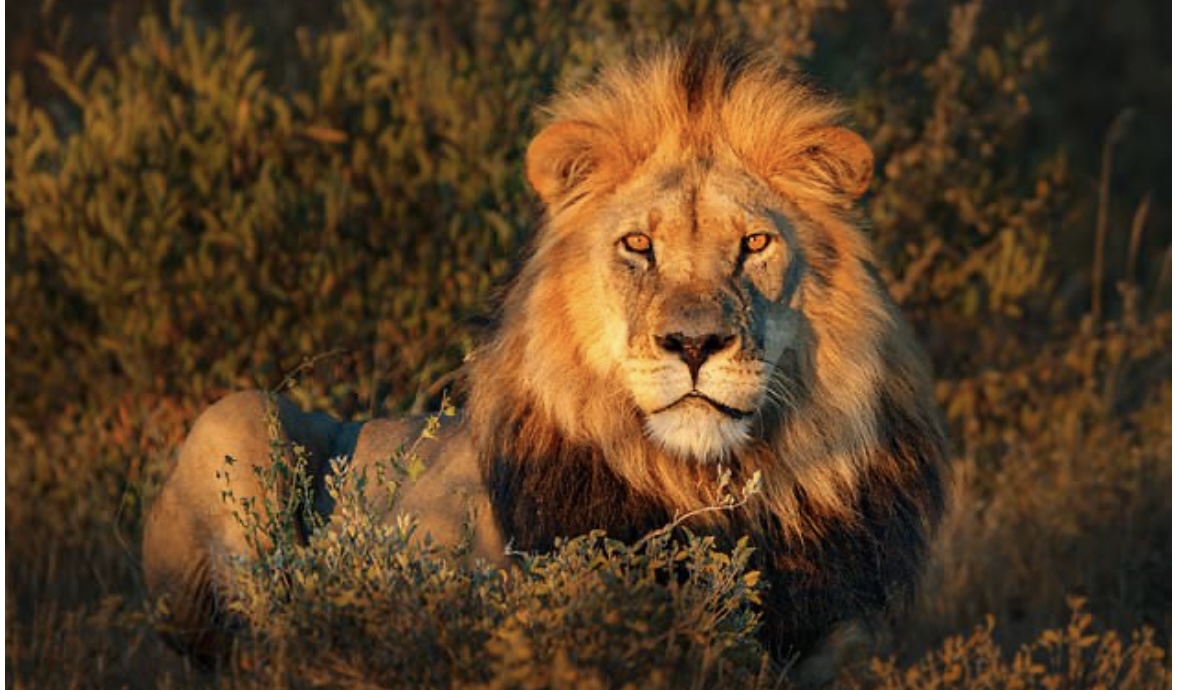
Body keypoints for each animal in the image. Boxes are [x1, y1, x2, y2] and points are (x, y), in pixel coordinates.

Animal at [143, 41, 947, 678]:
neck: (702, 481)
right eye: (638, 246)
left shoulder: (840, 634)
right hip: (238, 417)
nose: (693, 345)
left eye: (754, 244)